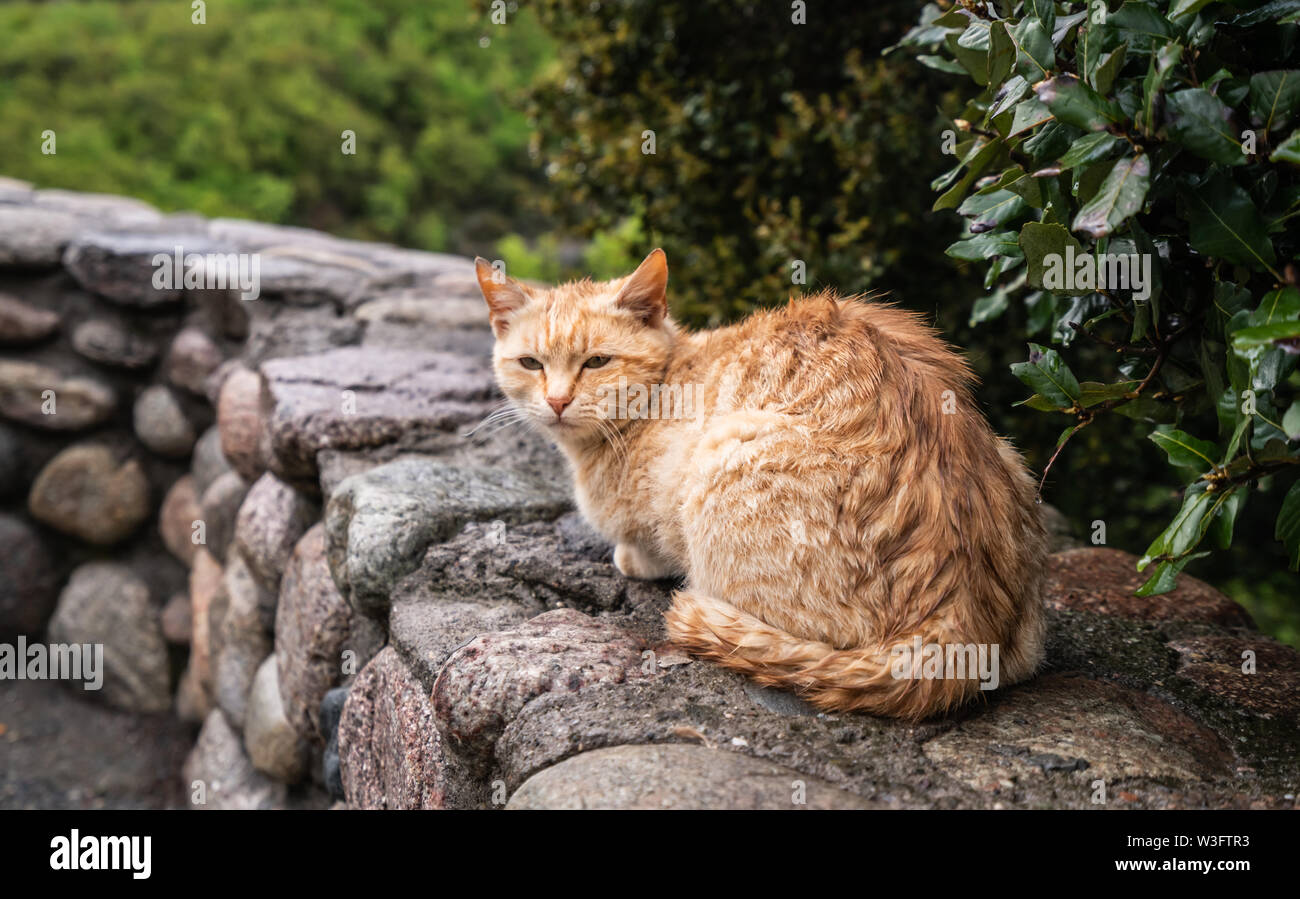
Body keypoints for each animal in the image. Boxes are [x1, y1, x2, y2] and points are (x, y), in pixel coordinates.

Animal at [475, 249, 1045, 722]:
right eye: (530, 363)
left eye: (596, 361)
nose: (557, 401)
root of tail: (959, 621)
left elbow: (642, 548)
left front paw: (632, 557)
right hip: (1013, 460)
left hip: (724, 452)